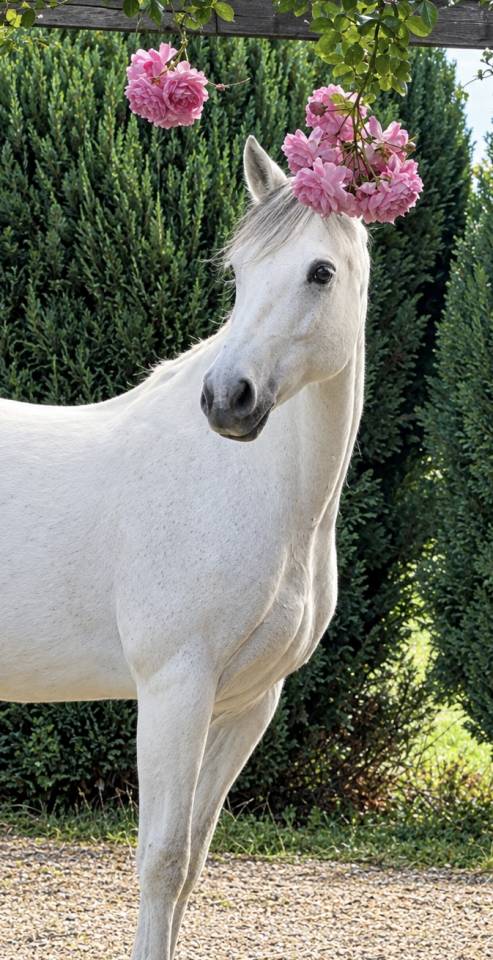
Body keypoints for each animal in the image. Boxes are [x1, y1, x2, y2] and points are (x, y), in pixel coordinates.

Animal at [0, 136, 369, 959]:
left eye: (320, 272)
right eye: (239, 272)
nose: (227, 400)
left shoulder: (247, 704)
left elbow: (194, 861)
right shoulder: (176, 689)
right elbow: (161, 861)